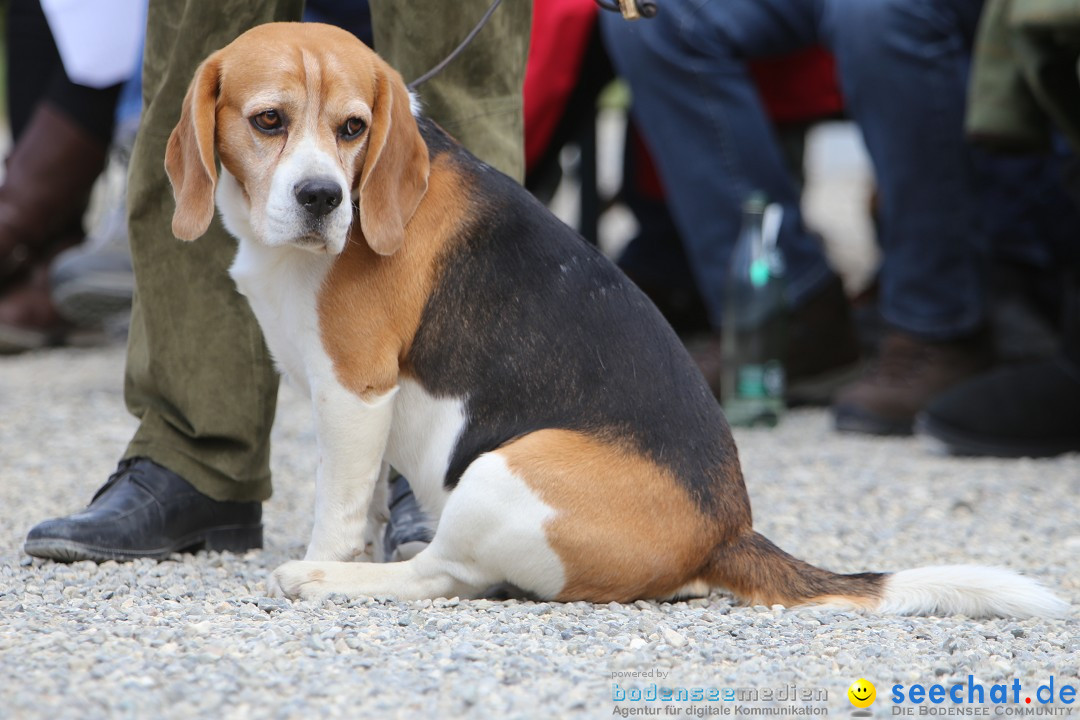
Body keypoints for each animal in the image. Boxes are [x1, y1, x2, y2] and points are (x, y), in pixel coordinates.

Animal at [166, 25, 1062, 617]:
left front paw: (326, 560)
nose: (322, 197)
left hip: (501, 471)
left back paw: (333, 581)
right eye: (269, 120)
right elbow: (373, 504)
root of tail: (725, 534)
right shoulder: (359, 407)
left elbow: (341, 507)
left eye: (352, 129)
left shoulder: (354, 391)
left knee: (450, 579)